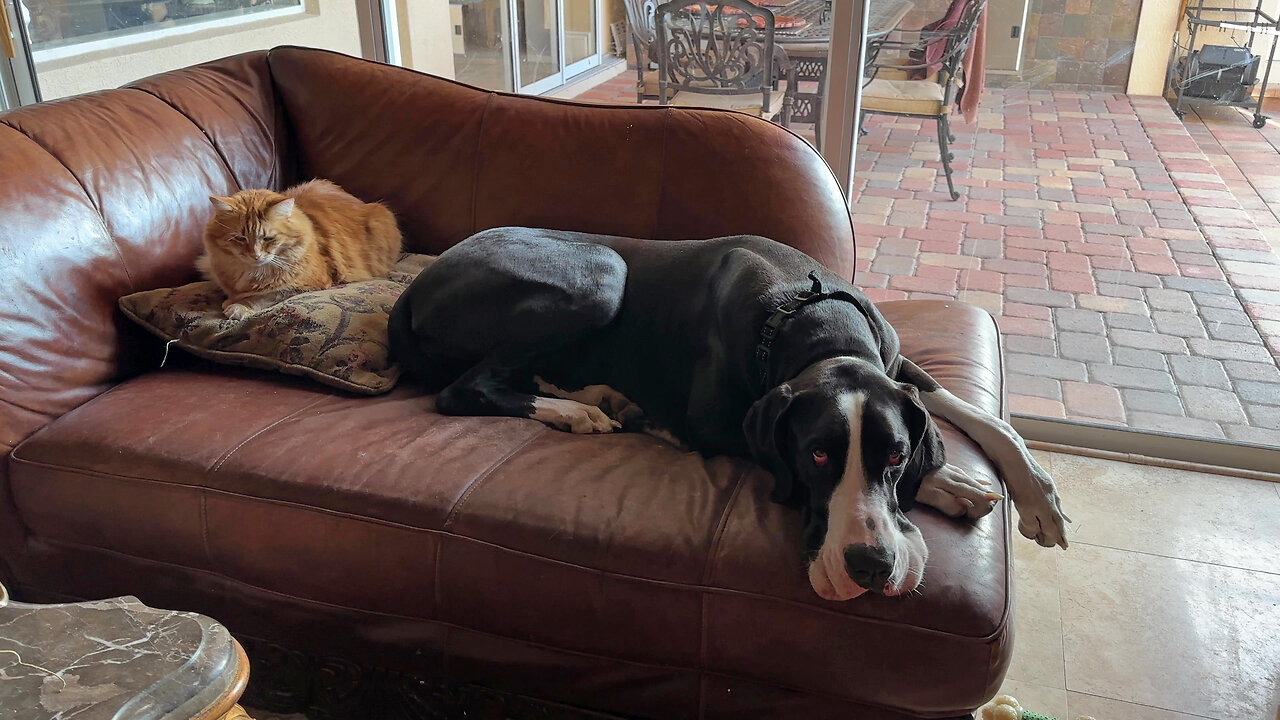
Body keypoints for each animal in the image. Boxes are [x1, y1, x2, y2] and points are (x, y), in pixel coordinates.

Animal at [197, 178, 399, 316]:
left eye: (268, 238)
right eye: (240, 238)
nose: (255, 255)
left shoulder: (307, 285)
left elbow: (263, 296)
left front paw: (237, 307)